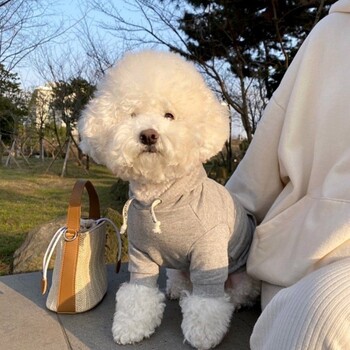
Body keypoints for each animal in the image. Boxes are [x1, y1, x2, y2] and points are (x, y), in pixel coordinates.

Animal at [79, 50, 260, 348]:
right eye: (132, 114)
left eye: (169, 115)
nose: (149, 134)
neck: (161, 198)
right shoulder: (140, 254)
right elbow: (138, 294)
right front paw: (131, 327)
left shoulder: (209, 254)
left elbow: (207, 302)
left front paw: (202, 335)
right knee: (179, 277)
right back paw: (177, 289)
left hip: (241, 275)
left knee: (236, 292)